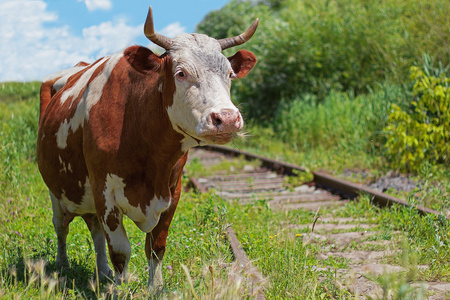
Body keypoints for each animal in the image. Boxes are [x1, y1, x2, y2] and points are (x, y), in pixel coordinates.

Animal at [36, 5, 256, 288]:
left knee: (94, 230)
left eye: (229, 74)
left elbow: (156, 246)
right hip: (55, 188)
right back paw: (63, 265)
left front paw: (156, 287)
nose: (227, 118)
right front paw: (121, 289)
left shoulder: (173, 191)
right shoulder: (105, 192)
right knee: (61, 225)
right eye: (181, 73)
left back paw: (102, 272)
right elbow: (120, 251)